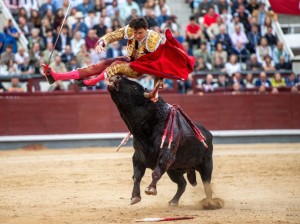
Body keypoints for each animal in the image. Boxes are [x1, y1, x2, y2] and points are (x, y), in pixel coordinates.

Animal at [106, 75, 221, 208]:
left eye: (135, 87)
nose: (116, 76)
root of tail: (207, 133)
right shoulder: (138, 157)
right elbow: (137, 176)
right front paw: (135, 197)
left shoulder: (167, 154)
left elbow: (156, 172)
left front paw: (150, 189)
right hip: (174, 170)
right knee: (182, 183)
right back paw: (173, 201)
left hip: (206, 164)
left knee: (206, 185)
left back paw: (210, 203)